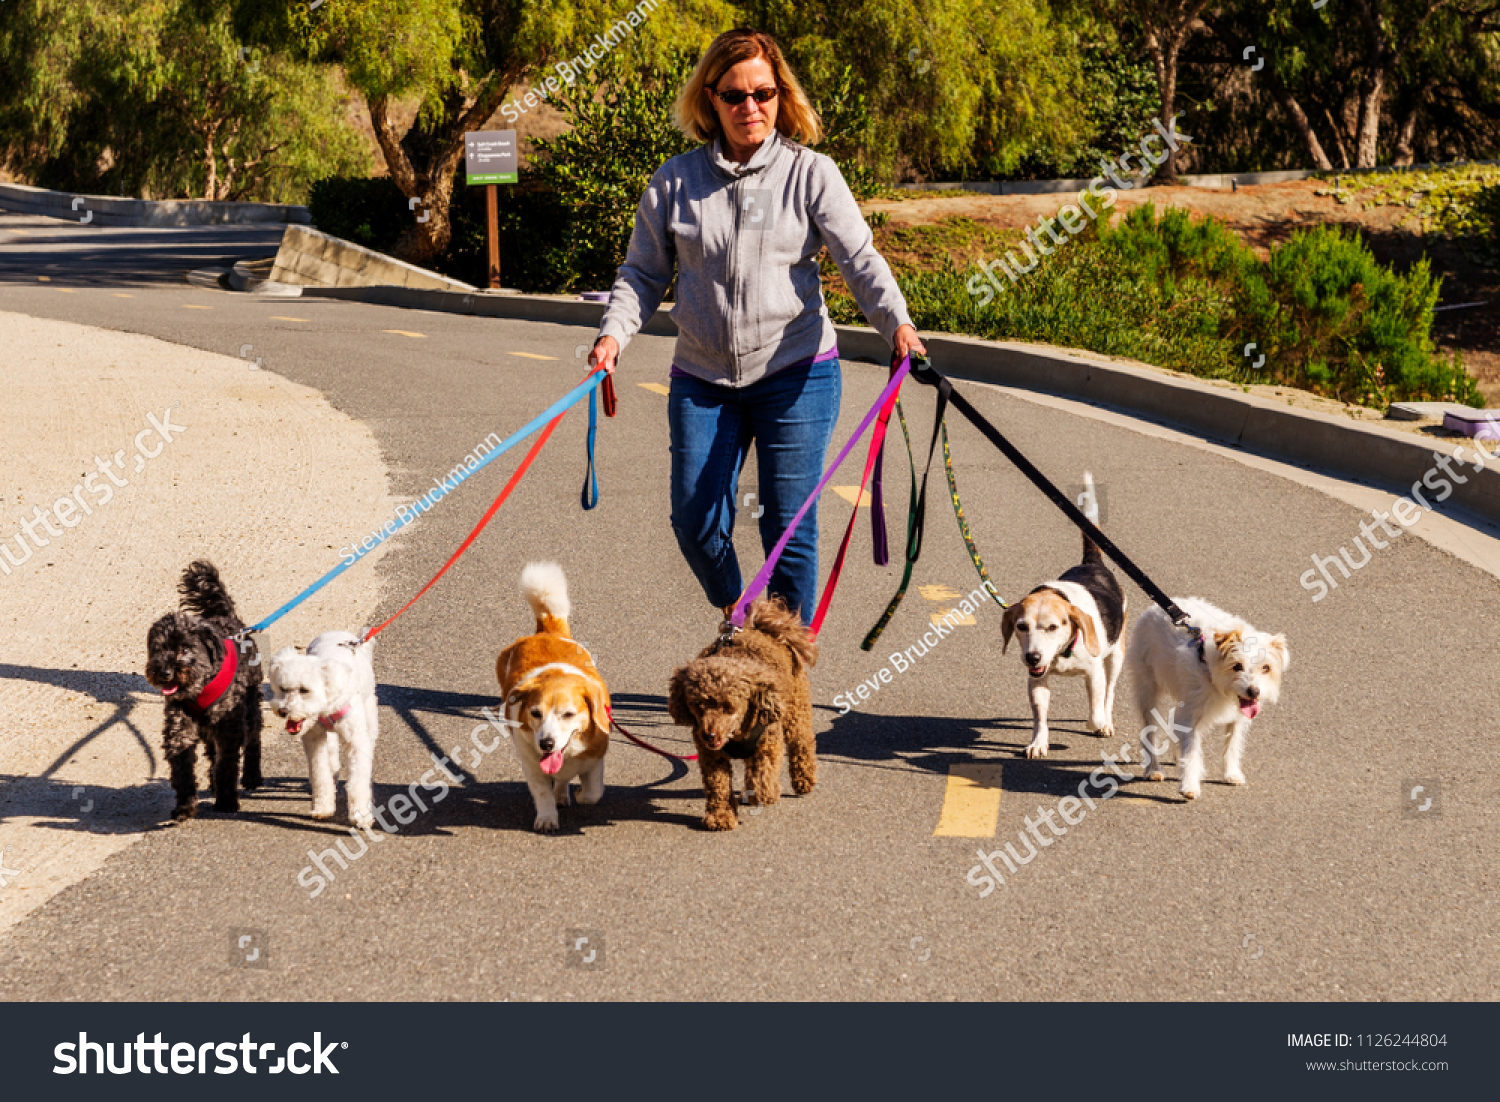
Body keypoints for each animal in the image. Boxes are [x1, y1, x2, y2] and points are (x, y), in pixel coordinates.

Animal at [146, 560, 264, 821]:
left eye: (185, 649)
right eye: (158, 649)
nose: (165, 672)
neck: (199, 689)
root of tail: (227, 617)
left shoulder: (229, 727)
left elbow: (226, 765)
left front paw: (227, 801)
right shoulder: (179, 730)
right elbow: (183, 771)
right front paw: (185, 806)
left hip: (250, 706)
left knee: (253, 739)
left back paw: (252, 776)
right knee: (212, 752)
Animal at [267, 629, 378, 827]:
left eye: (304, 690)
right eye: (282, 688)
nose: (283, 711)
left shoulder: (356, 741)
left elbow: (358, 780)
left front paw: (361, 815)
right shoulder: (314, 739)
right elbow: (320, 774)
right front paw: (323, 807)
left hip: (370, 713)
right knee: (332, 759)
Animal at [495, 563, 606, 833]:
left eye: (568, 714)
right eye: (535, 713)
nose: (546, 743)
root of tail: (547, 630)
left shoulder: (595, 760)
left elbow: (593, 792)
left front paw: (580, 795)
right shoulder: (533, 768)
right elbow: (542, 793)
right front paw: (547, 818)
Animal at [1128, 593, 1290, 803]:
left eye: (1266, 668)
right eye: (1237, 666)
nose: (1254, 691)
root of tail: (1155, 609)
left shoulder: (1236, 718)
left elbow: (1232, 745)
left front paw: (1231, 773)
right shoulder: (1191, 716)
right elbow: (1191, 752)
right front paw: (1189, 785)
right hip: (1148, 690)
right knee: (1150, 731)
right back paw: (1153, 769)